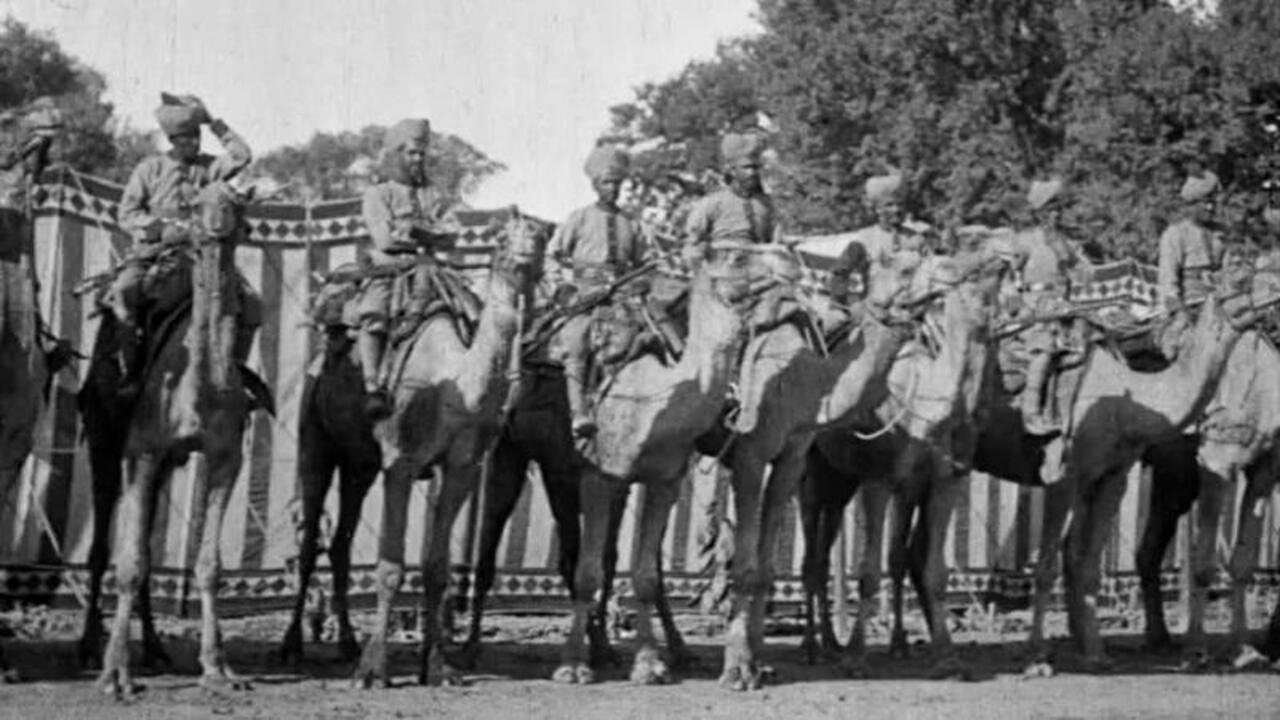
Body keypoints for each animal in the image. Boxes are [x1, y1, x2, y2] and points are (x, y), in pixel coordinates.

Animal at [93, 179, 264, 696]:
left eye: (235, 201)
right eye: (196, 203)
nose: (215, 224)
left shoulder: (224, 457)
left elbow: (208, 566)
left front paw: (218, 667)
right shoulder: (142, 452)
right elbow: (129, 564)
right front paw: (115, 675)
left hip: (169, 465)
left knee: (149, 544)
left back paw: (155, 649)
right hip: (106, 442)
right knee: (104, 545)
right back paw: (92, 648)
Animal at [350, 211, 550, 681]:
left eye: (541, 236)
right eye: (503, 237)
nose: (526, 253)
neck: (455, 383)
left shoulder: (461, 468)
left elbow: (437, 568)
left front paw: (439, 667)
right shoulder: (400, 461)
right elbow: (390, 566)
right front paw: (373, 670)